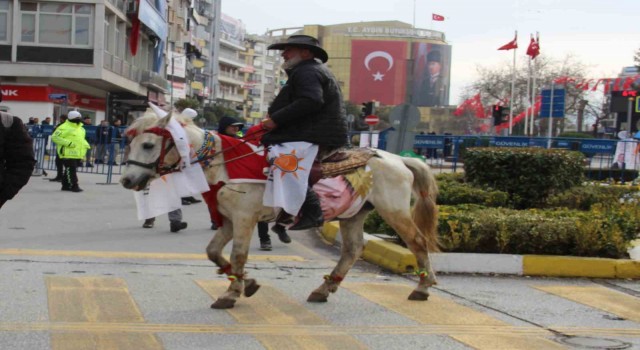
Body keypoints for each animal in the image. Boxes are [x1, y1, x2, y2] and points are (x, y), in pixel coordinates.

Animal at [120, 108, 440, 308]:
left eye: (148, 145)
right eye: (130, 144)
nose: (126, 180)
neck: (224, 164)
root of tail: (398, 159)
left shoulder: (244, 219)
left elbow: (238, 255)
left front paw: (232, 293)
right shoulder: (229, 220)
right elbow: (213, 252)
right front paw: (246, 283)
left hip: (394, 212)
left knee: (418, 242)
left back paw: (422, 288)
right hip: (353, 214)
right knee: (352, 250)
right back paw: (324, 289)